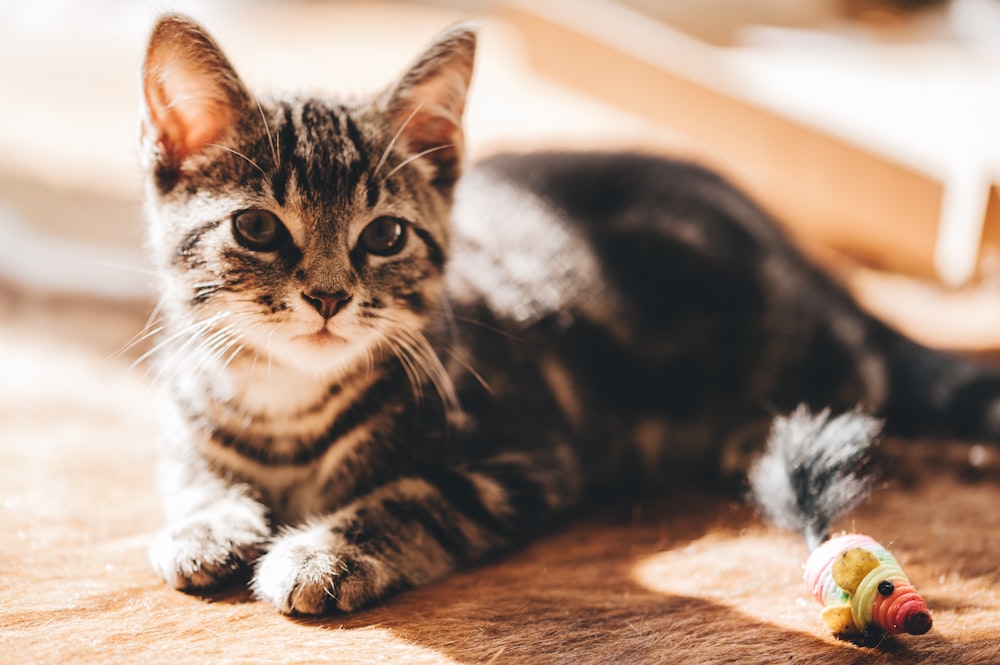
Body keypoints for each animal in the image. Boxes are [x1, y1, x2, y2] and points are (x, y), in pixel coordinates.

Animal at [139, 15, 1000, 616]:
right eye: (257, 228)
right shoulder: (181, 403)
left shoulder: (527, 458)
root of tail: (805, 257)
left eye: (383, 236)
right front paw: (206, 523)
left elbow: (415, 496)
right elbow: (188, 462)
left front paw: (322, 553)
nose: (327, 295)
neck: (286, 402)